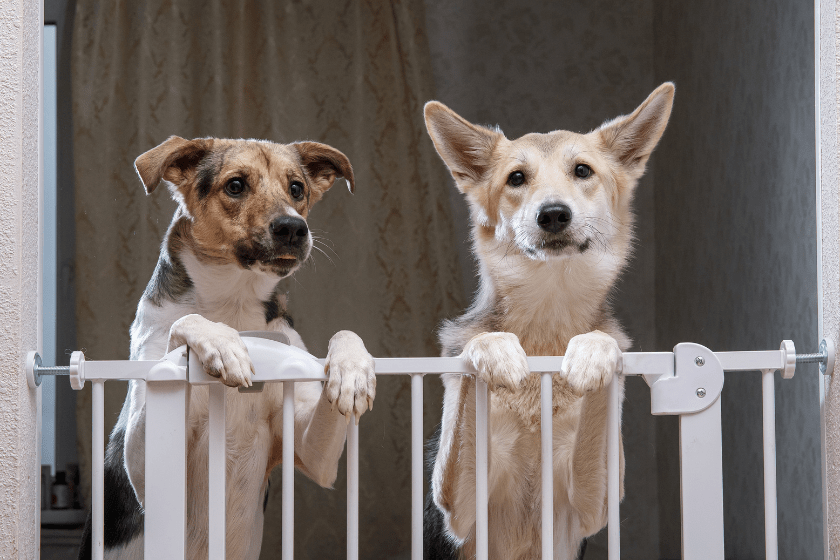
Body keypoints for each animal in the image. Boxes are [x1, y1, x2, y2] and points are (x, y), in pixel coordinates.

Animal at [80, 137, 376, 560]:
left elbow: (345, 334)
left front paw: (353, 372)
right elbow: (185, 321)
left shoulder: (312, 452)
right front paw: (223, 345)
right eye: (235, 185)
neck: (233, 304)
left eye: (297, 188)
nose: (293, 228)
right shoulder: (144, 466)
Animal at [424, 84, 672, 560]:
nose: (554, 213)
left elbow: (601, 349)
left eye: (582, 170)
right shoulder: (458, 507)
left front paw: (593, 353)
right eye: (517, 178)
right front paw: (494, 348)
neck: (547, 316)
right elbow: (476, 352)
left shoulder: (593, 503)